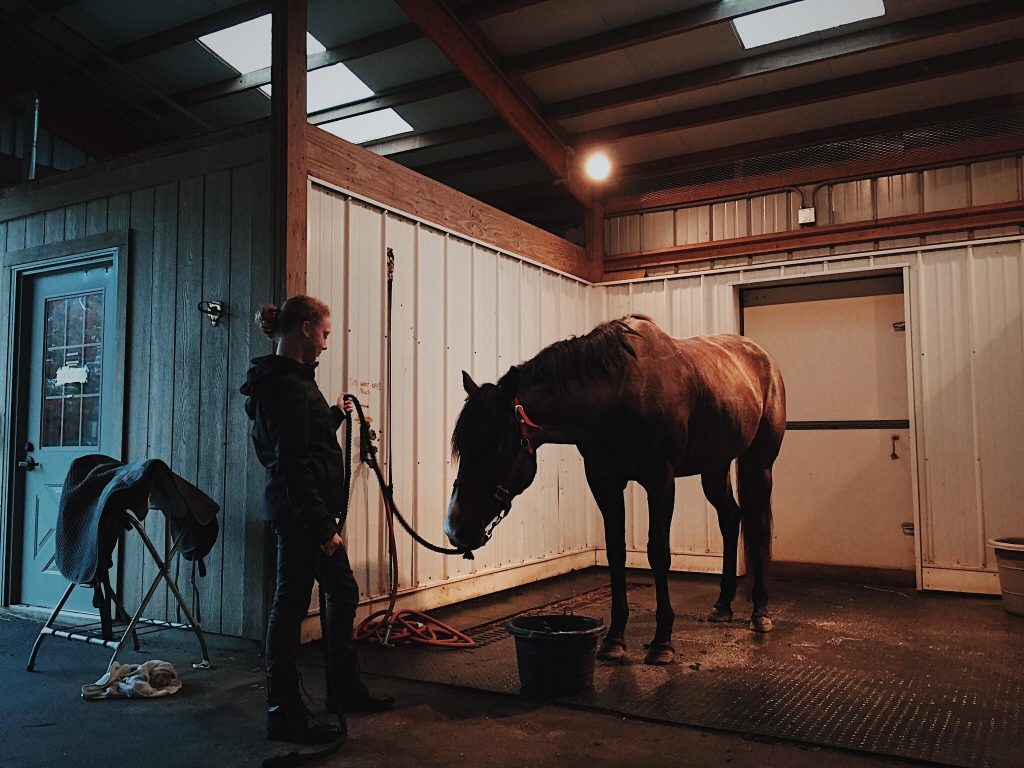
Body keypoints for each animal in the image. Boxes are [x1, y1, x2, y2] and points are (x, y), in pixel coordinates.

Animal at [445, 314, 786, 665]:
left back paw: (760, 612)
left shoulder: (660, 480)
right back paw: (723, 605)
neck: (619, 394)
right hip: (715, 467)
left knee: (758, 525)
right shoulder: (604, 481)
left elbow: (658, 553)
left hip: (758, 463)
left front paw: (662, 642)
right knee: (730, 520)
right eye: (462, 446)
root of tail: (763, 358)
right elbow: (615, 551)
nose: (455, 528)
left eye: (498, 444)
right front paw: (614, 639)